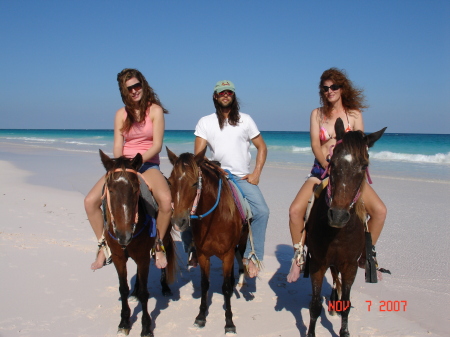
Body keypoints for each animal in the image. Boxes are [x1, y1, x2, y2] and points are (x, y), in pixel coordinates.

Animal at [99, 150, 176, 336]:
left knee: (164, 256)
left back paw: (165, 287)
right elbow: (123, 288)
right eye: (110, 190)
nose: (124, 235)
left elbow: (144, 293)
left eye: (135, 189)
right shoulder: (119, 257)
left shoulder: (143, 257)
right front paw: (124, 322)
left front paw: (146, 327)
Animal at [167, 148, 248, 334]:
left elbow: (225, 287)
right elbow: (204, 284)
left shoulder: (227, 255)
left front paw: (229, 322)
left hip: (242, 242)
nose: (178, 221)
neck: (215, 218)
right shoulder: (203, 255)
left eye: (194, 184)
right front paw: (201, 316)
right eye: (170, 182)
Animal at [304, 119, 384, 336]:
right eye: (331, 162)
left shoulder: (350, 266)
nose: (338, 216)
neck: (339, 233)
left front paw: (344, 331)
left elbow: (346, 304)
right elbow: (315, 305)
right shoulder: (318, 264)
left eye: (364, 165)